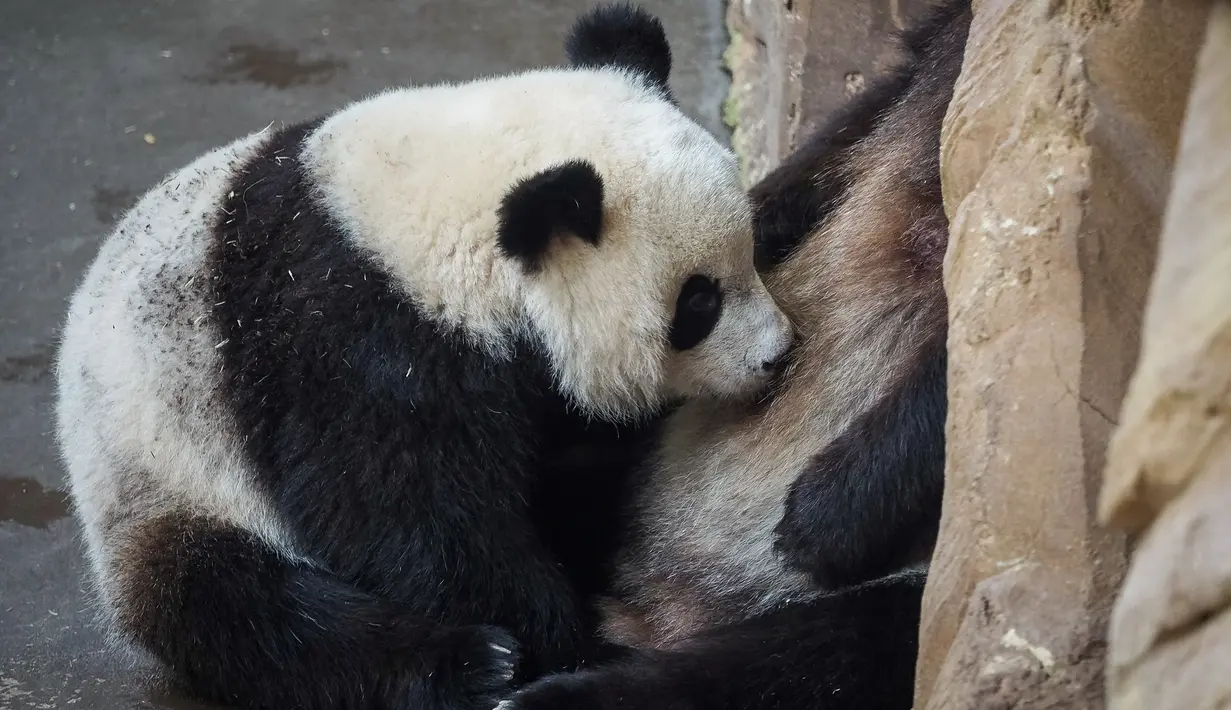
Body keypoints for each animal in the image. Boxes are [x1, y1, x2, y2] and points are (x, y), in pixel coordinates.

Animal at [52, 5, 795, 710]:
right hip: (166, 481)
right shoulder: (359, 344)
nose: (777, 354)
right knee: (252, 613)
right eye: (697, 304)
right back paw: (469, 665)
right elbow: (407, 522)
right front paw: (564, 640)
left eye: (752, 250)